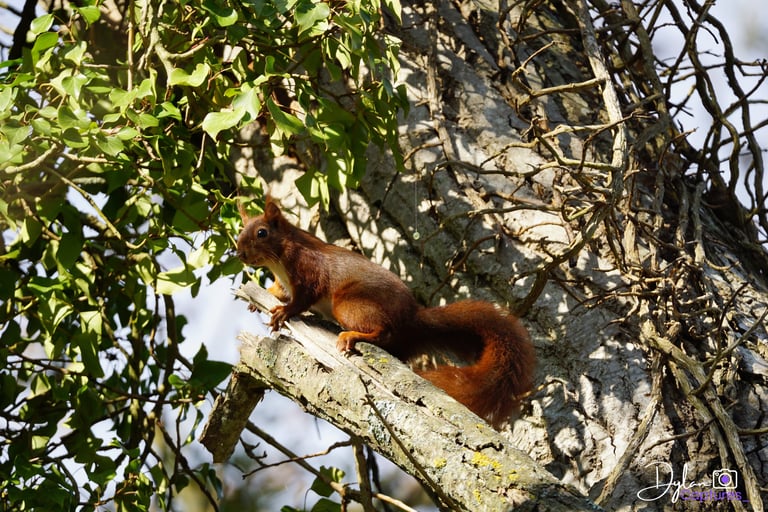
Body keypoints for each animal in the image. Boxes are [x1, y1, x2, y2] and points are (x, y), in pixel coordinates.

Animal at [236, 197, 536, 428]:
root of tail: (411, 318)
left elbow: (302, 299)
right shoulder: (284, 282)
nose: (239, 253)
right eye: (240, 230)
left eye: (262, 233)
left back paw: (354, 336)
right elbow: (278, 291)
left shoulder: (309, 270)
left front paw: (283, 313)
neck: (279, 260)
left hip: (349, 304)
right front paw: (257, 299)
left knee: (383, 331)